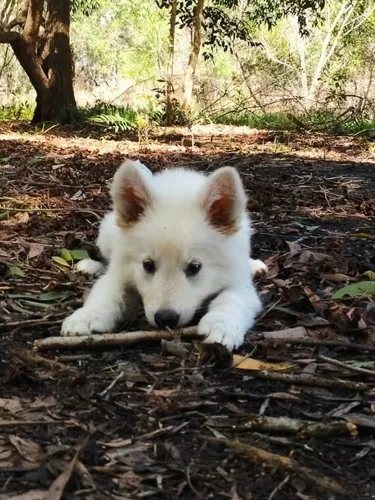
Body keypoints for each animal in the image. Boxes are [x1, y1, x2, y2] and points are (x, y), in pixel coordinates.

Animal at [61, 160, 266, 352]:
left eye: (194, 267)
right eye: (148, 265)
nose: (165, 318)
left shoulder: (240, 284)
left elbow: (231, 299)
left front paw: (220, 325)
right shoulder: (119, 272)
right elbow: (106, 292)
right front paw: (87, 316)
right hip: (106, 233)